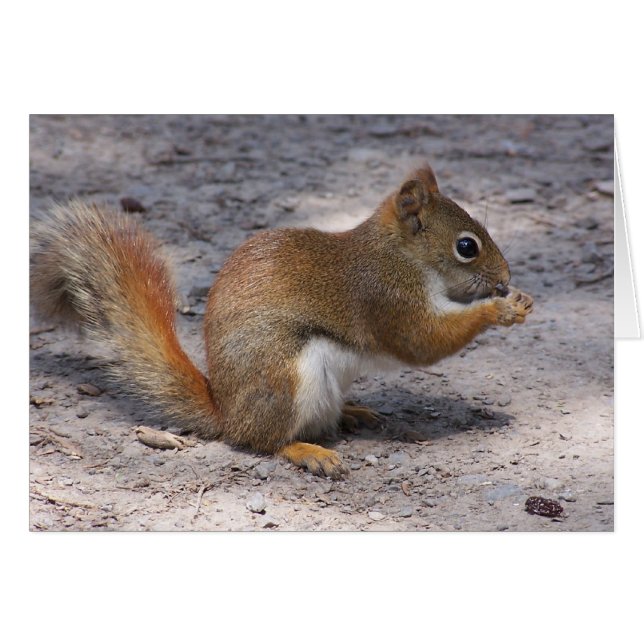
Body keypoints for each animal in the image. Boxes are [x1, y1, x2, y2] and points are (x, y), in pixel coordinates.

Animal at [30, 164, 533, 479]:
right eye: (466, 246)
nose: (505, 279)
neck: (399, 253)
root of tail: (227, 413)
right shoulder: (387, 295)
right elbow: (423, 341)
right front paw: (501, 309)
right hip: (287, 376)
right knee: (263, 441)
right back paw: (308, 452)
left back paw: (352, 413)